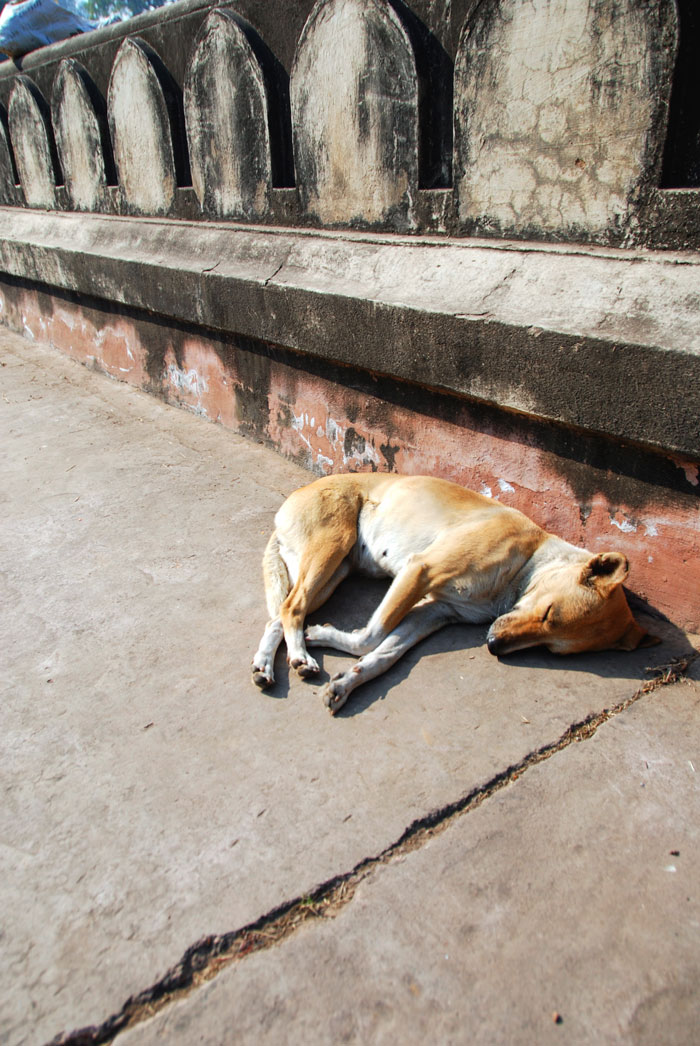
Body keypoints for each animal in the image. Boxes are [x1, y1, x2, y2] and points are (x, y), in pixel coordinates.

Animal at [251, 472, 657, 711]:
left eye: (552, 648)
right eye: (547, 613)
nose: (492, 646)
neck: (528, 558)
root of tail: (290, 500)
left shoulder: (434, 611)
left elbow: (384, 654)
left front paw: (347, 681)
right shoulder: (420, 571)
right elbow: (371, 636)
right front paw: (325, 641)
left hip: (332, 573)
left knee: (280, 615)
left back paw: (266, 664)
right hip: (331, 549)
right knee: (292, 608)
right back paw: (300, 655)